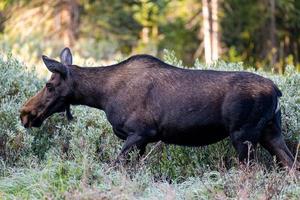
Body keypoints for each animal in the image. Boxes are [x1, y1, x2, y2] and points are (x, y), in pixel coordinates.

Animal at [19, 47, 296, 168]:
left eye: (49, 85)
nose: (25, 114)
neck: (102, 96)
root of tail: (276, 90)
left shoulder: (140, 133)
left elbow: (114, 165)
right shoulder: (142, 141)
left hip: (243, 135)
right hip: (271, 132)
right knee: (292, 165)